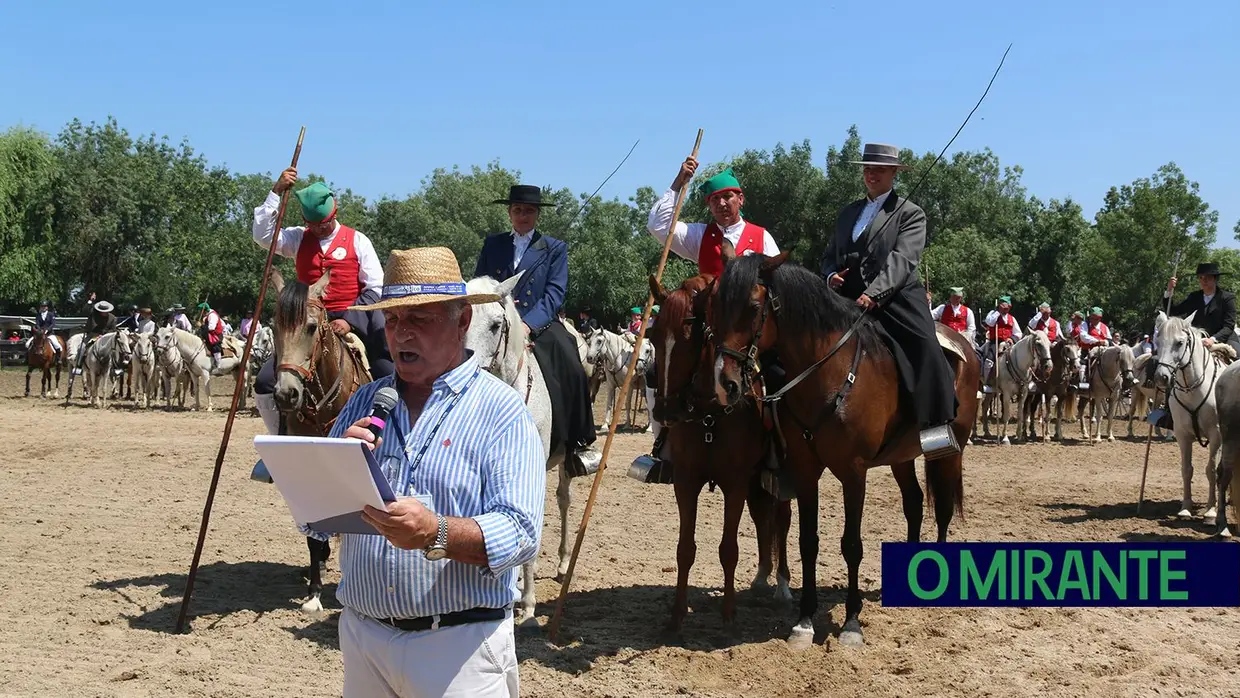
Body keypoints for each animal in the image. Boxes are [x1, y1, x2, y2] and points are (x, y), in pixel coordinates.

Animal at [644, 272, 788, 634]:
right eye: (653, 336)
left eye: (692, 336)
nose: (666, 410)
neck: (710, 414)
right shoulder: (686, 482)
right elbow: (685, 548)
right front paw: (677, 615)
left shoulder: (735, 483)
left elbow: (729, 549)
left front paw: (729, 615)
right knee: (763, 519)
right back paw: (762, 578)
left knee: (781, 521)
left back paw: (782, 585)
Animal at [709, 254, 977, 654]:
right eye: (716, 307)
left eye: (754, 307)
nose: (725, 384)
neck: (829, 372)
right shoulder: (805, 470)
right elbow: (808, 542)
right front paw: (804, 621)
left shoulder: (854, 472)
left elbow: (851, 544)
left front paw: (851, 623)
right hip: (901, 457)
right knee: (914, 503)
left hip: (949, 451)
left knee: (942, 508)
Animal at [1150, 312, 1220, 525]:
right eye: (1158, 341)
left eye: (1179, 343)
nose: (1161, 377)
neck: (1194, 389)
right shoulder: (1183, 435)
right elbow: (1187, 469)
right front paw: (1185, 509)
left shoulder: (1216, 435)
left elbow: (1212, 470)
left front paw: (1211, 511)